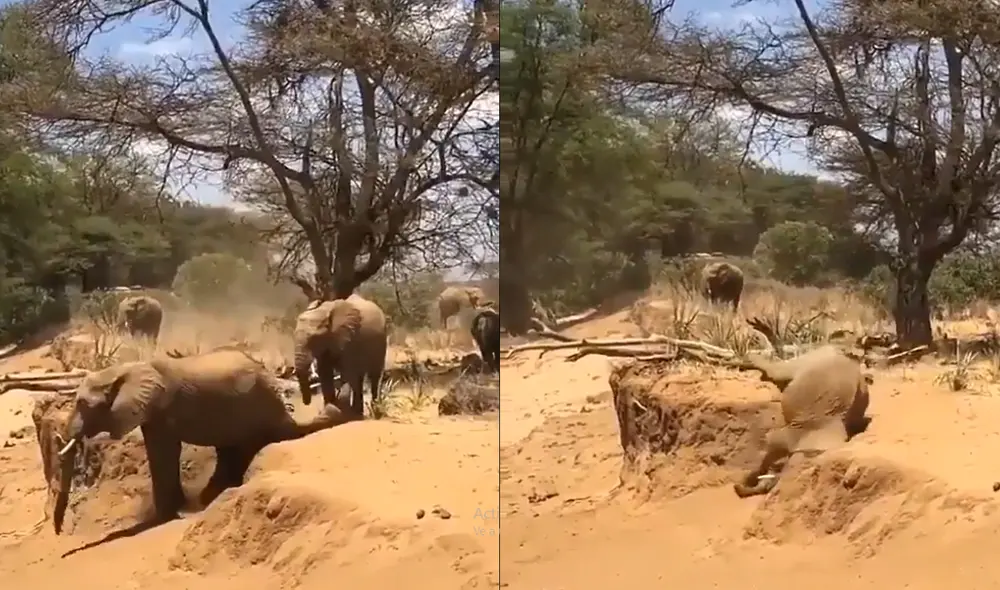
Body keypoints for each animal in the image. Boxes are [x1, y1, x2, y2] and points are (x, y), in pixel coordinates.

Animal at [51, 349, 352, 535]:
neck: (122, 370)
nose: (58, 531)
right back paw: (209, 497)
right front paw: (174, 512)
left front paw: (166, 517)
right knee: (229, 451)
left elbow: (164, 451)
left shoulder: (162, 406)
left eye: (83, 404)